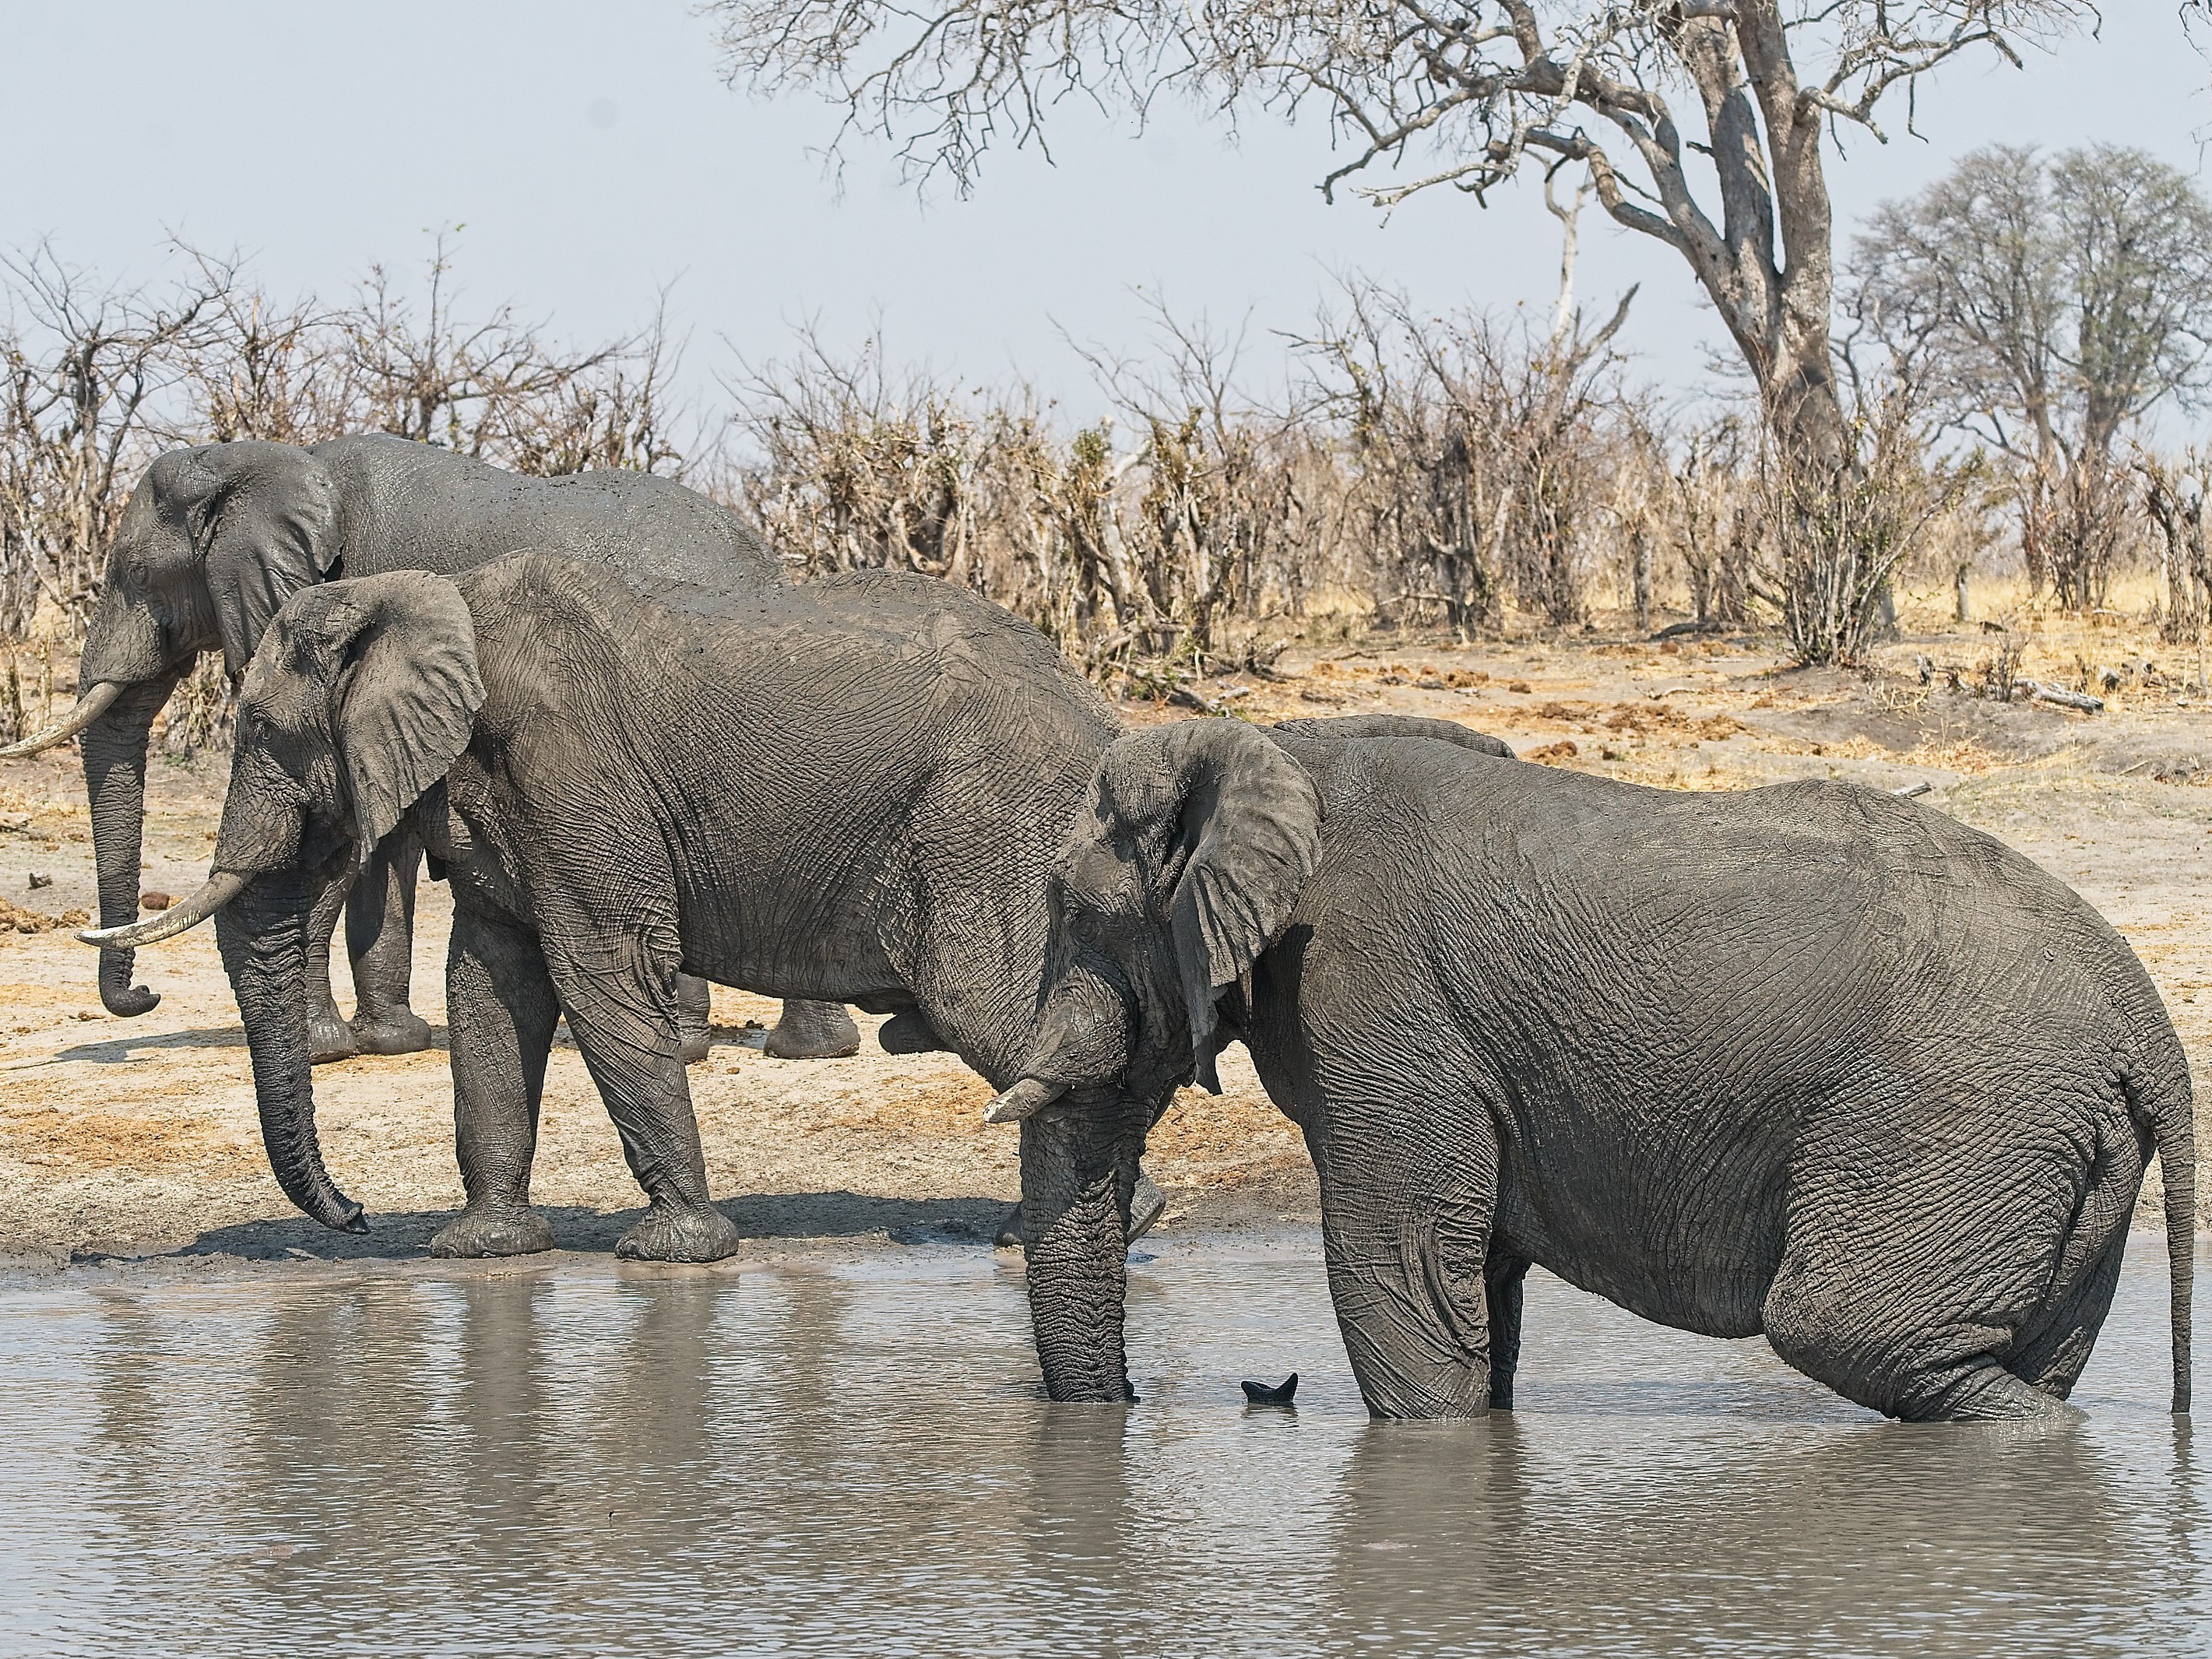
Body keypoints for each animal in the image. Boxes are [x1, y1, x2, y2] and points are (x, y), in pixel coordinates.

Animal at [3, 434, 859, 1065]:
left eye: (133, 572)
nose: (142, 998)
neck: (265, 461)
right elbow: (378, 839)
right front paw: (390, 1040)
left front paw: (324, 1050)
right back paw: (807, 1051)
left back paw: (701, 1048)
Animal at [991, 717, 2197, 1420]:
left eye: (1074, 908)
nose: (1129, 1406)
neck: (1272, 748)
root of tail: (2151, 1026)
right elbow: (1475, 1275)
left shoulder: (1378, 1004)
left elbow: (1402, 1271)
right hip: (2059, 1145)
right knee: (2020, 1357)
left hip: (1960, 1115)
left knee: (1851, 1329)